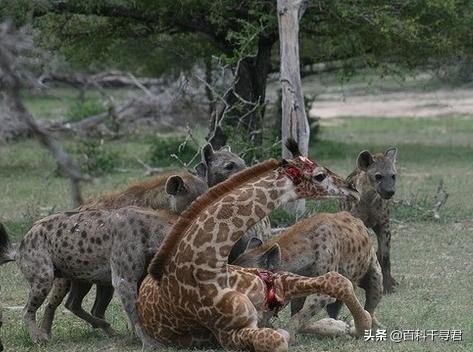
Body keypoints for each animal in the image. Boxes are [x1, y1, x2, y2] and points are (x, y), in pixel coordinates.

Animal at [135, 141, 370, 352]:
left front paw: (362, 325)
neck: (208, 266)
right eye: (320, 175)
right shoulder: (229, 334)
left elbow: (337, 281)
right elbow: (278, 338)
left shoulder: (278, 281)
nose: (352, 188)